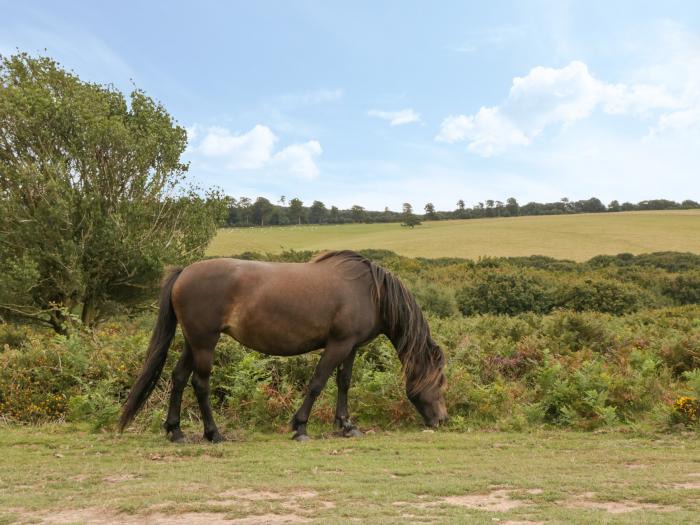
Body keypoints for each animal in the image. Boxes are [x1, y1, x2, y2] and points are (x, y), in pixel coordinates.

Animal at [119, 252, 448, 440]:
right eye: (440, 382)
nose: (442, 420)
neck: (370, 291)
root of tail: (183, 273)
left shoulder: (351, 347)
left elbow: (343, 382)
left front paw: (346, 426)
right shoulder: (338, 344)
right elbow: (317, 383)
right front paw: (300, 427)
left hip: (193, 342)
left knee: (178, 378)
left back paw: (175, 432)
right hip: (205, 342)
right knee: (200, 383)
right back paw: (214, 434)